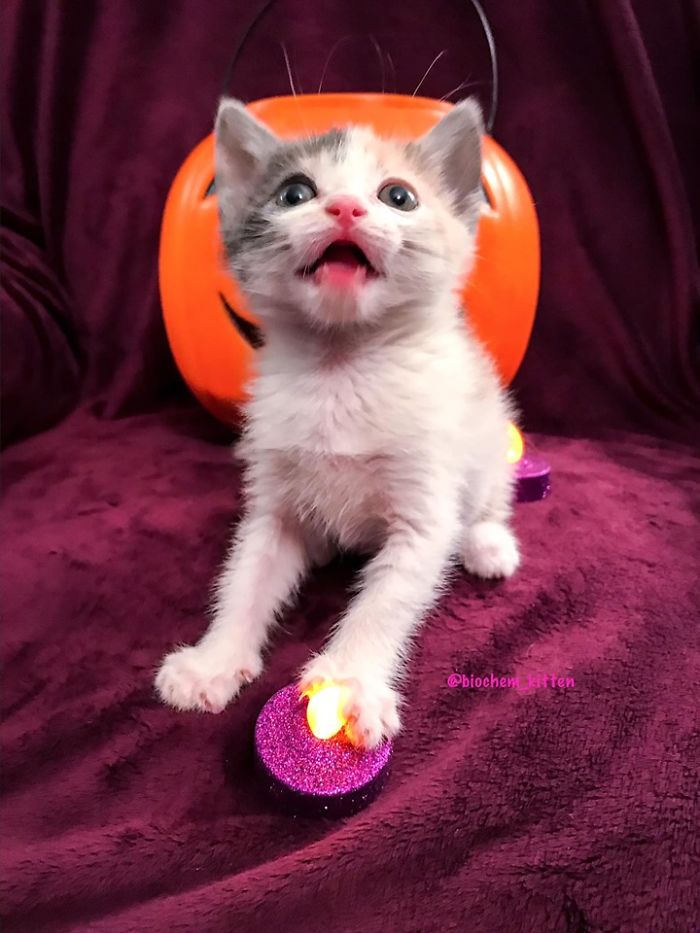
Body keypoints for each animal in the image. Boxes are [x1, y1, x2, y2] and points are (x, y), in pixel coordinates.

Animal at [157, 94, 520, 748]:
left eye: (398, 196)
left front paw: (349, 684)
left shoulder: (423, 510)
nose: (346, 206)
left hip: (486, 428)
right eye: (295, 193)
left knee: (487, 496)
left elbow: (386, 602)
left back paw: (487, 542)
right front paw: (213, 660)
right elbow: (246, 577)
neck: (340, 366)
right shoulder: (273, 500)